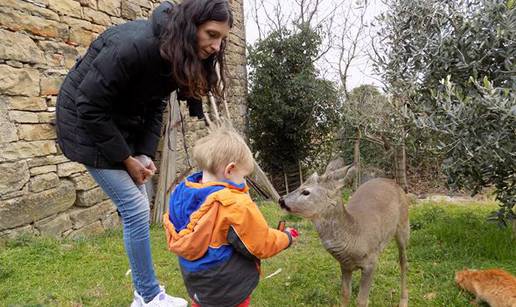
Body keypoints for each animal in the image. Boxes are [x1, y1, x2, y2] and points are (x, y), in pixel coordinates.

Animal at [280, 159, 410, 307]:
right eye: (300, 185)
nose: (281, 200)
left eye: (306, 192)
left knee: (403, 261)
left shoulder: (371, 262)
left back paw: (403, 301)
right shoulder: (345, 265)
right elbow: (345, 294)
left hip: (403, 225)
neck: (356, 237)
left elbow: (361, 301)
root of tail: (392, 182)